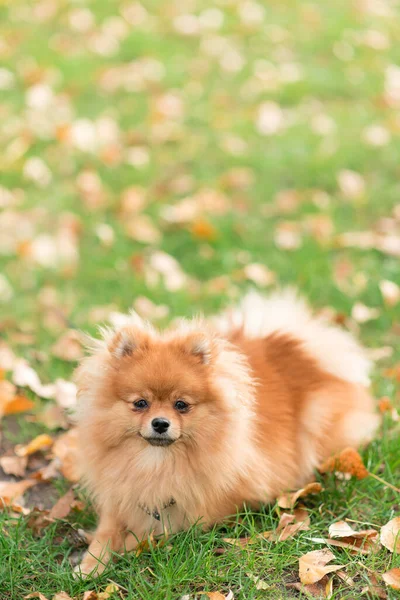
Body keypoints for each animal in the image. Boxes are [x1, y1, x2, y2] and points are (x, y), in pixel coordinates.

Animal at [74, 290, 378, 576]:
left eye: (181, 405)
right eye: (140, 403)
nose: (160, 423)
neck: (156, 463)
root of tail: (299, 347)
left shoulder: (194, 514)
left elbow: (146, 534)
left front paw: (123, 549)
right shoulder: (119, 495)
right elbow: (106, 532)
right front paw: (91, 563)